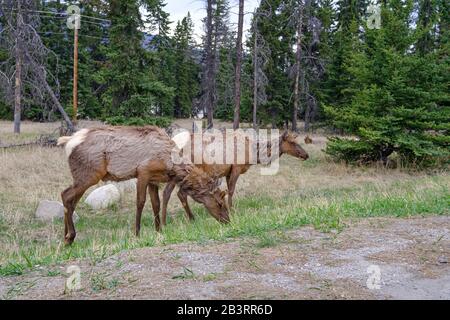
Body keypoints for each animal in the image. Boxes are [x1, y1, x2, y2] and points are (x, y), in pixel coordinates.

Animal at [57, 125, 229, 245]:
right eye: (220, 203)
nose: (228, 221)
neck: (170, 164)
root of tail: (67, 142)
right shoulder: (143, 172)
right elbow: (140, 202)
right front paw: (137, 233)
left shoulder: (154, 180)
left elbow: (156, 204)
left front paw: (159, 231)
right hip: (89, 175)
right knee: (65, 195)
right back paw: (70, 236)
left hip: (82, 177)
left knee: (70, 200)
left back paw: (65, 237)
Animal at [162, 130, 310, 225]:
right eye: (293, 142)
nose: (306, 155)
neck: (253, 153)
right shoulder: (236, 168)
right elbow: (231, 191)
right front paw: (232, 210)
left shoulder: (228, 171)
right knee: (180, 193)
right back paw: (191, 219)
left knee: (167, 192)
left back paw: (165, 221)